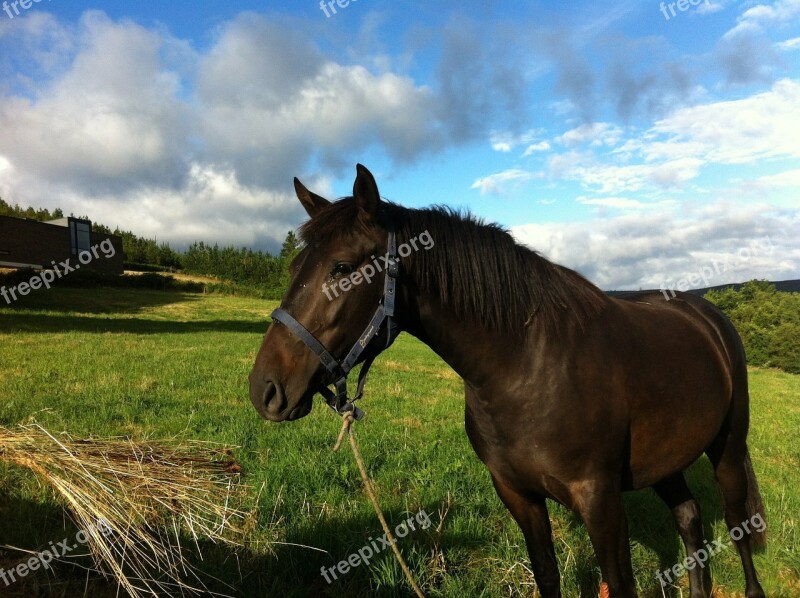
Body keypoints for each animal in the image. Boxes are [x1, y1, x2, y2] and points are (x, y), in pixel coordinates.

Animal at [250, 165, 768, 598]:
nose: (265, 390)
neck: (526, 366)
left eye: (341, 268)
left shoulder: (599, 501)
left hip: (727, 449)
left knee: (737, 524)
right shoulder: (519, 495)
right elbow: (547, 577)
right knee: (689, 517)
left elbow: (620, 585)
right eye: (295, 268)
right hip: (665, 460)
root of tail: (709, 317)